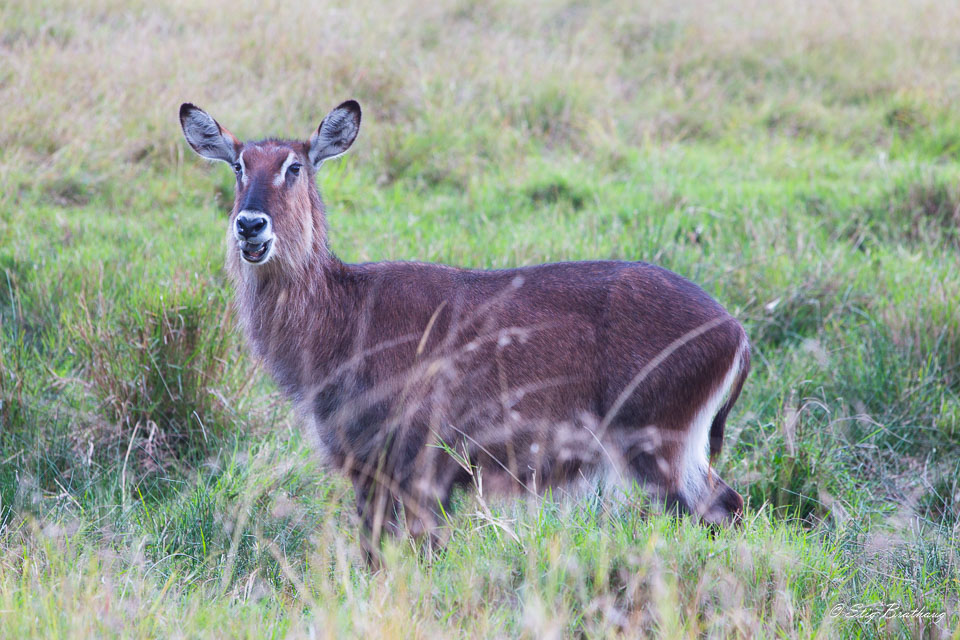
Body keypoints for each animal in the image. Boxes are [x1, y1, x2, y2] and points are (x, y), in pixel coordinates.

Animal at [180, 99, 752, 556]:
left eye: (294, 166)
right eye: (238, 165)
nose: (250, 225)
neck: (343, 312)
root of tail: (737, 333)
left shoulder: (409, 464)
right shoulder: (374, 467)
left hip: (658, 444)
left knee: (724, 508)